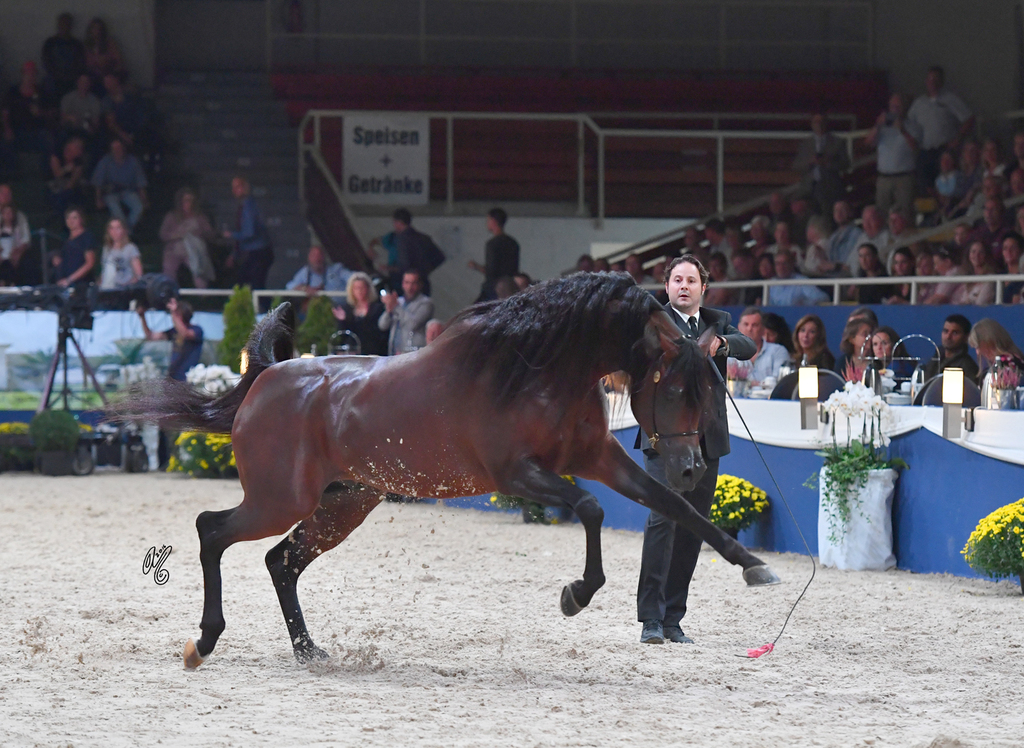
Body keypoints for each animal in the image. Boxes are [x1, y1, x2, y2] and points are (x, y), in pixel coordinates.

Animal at [114, 272, 780, 669]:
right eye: (675, 389)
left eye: (708, 389)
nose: (691, 465)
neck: (537, 367)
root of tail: (269, 377)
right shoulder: (516, 474)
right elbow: (590, 509)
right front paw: (576, 594)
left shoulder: (600, 458)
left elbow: (676, 509)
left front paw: (754, 567)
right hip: (280, 499)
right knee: (211, 530)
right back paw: (203, 641)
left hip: (342, 504)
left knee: (281, 561)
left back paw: (309, 651)